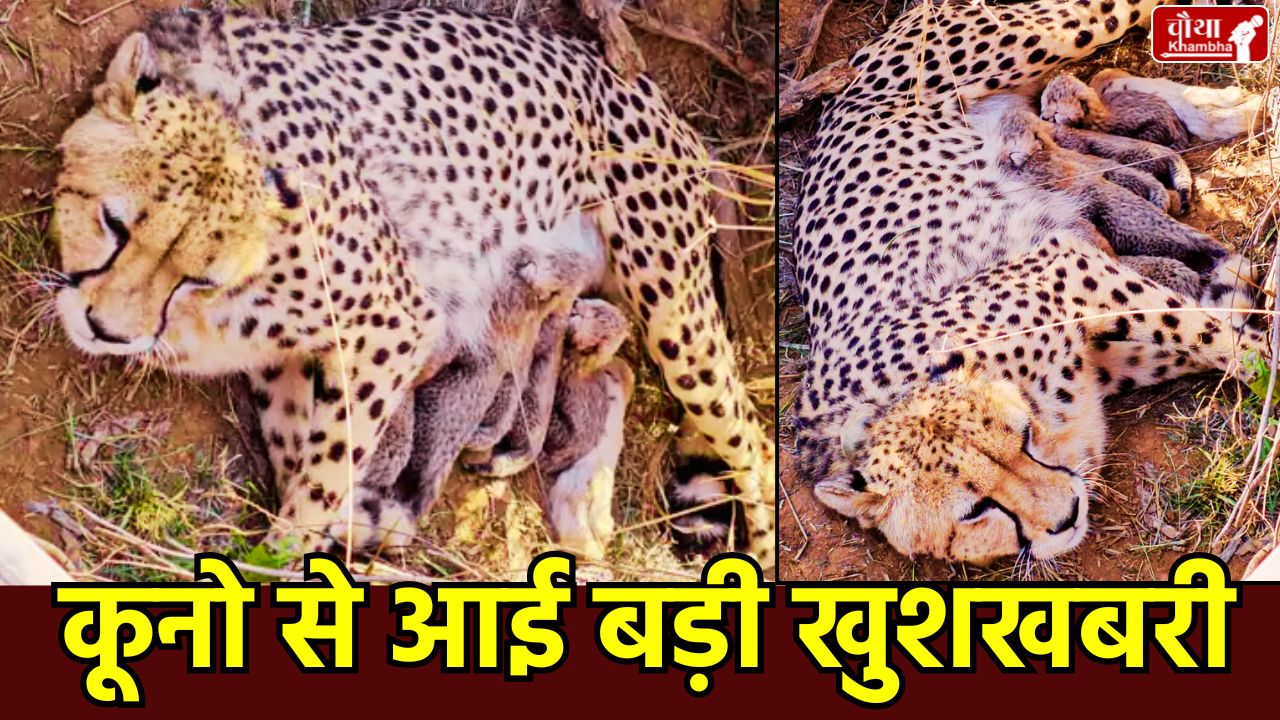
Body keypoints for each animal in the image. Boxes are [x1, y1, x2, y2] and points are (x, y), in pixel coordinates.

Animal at [52, 5, 776, 566]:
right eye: (113, 223)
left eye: (197, 275)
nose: (106, 329)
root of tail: (637, 84)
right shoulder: (288, 359)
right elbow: (297, 447)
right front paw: (353, 522)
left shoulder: (395, 323)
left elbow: (324, 469)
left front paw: (281, 558)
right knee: (614, 371)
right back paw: (582, 506)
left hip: (673, 308)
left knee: (754, 439)